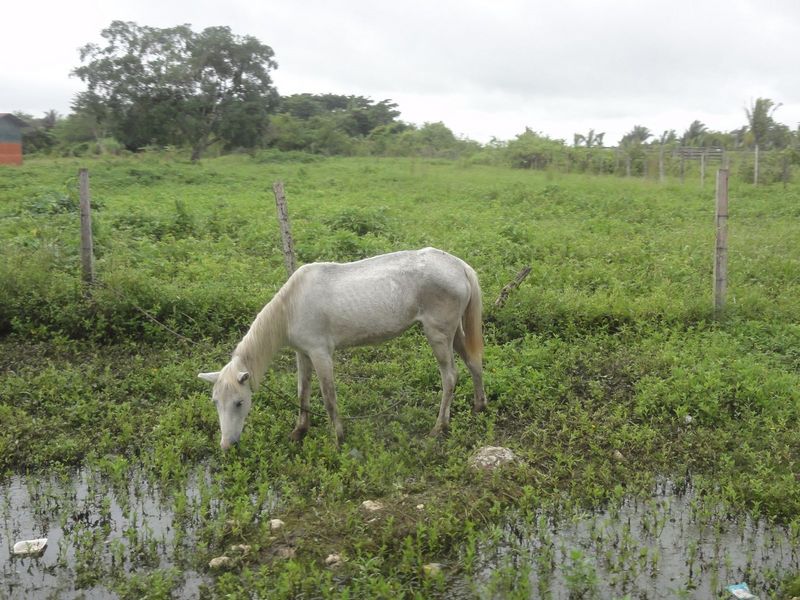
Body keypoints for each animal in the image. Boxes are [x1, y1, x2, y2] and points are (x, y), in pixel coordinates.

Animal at [200, 247, 488, 450]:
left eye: (239, 402)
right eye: (215, 402)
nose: (226, 445)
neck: (290, 307)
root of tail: (460, 266)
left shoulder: (320, 353)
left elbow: (329, 397)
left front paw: (338, 439)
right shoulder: (302, 353)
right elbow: (303, 392)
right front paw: (300, 431)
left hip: (437, 334)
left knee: (449, 377)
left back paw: (439, 427)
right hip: (454, 332)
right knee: (473, 363)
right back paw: (479, 407)